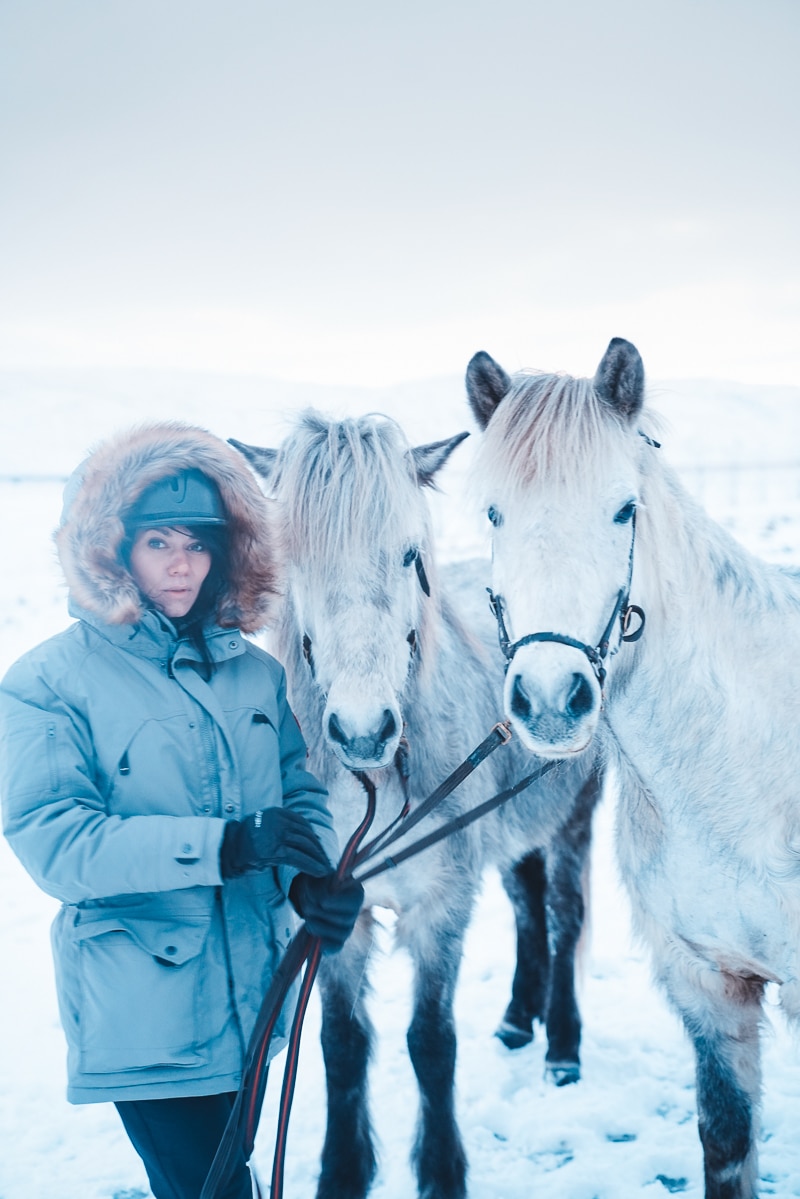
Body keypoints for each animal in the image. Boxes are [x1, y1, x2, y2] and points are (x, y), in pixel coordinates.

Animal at [227, 414, 597, 1199]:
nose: (363, 729)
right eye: (293, 558)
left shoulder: (440, 905)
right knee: (527, 903)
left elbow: (430, 1041)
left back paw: (562, 1046)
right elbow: (341, 1041)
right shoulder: (336, 911)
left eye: (408, 555)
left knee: (564, 913)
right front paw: (343, 1171)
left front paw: (442, 1171)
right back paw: (518, 1018)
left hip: (573, 814)